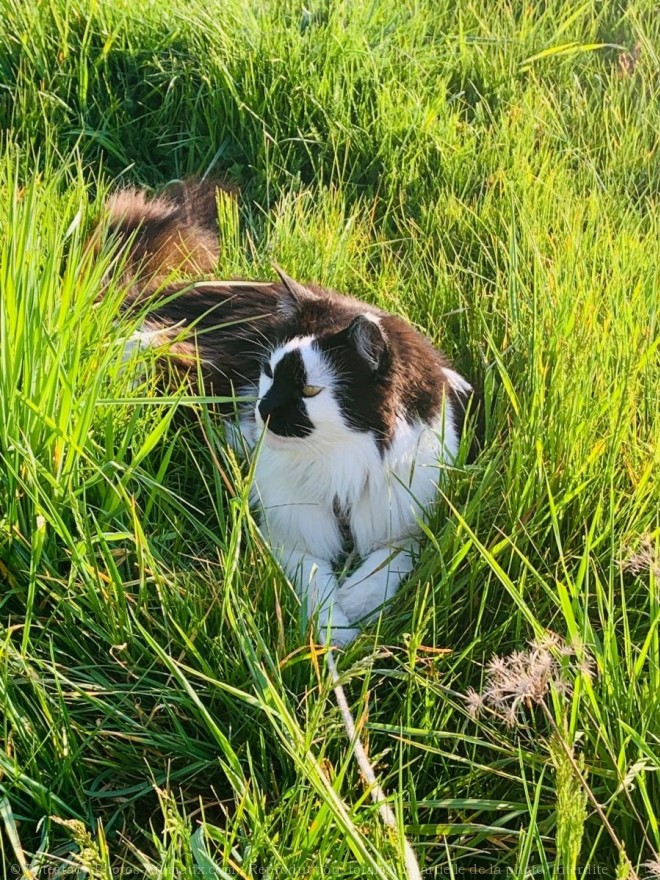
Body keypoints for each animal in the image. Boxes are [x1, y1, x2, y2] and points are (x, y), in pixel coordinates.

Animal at [103, 180, 474, 648]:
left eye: (309, 390)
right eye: (267, 373)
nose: (261, 411)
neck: (342, 471)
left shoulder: (408, 518)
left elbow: (393, 561)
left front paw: (356, 601)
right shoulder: (290, 535)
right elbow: (315, 586)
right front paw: (336, 635)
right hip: (154, 355)